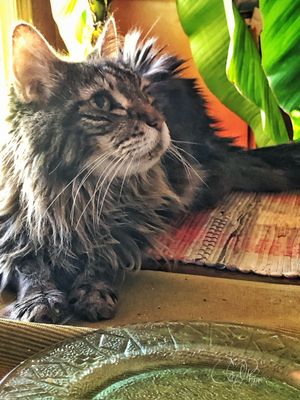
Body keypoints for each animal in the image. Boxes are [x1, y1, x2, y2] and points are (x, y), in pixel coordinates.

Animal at [0, 18, 300, 324]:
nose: (159, 121)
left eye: (146, 95)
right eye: (102, 102)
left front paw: (93, 291)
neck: (77, 194)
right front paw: (40, 299)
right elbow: (28, 265)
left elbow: (104, 255)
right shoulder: (11, 232)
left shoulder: (135, 222)